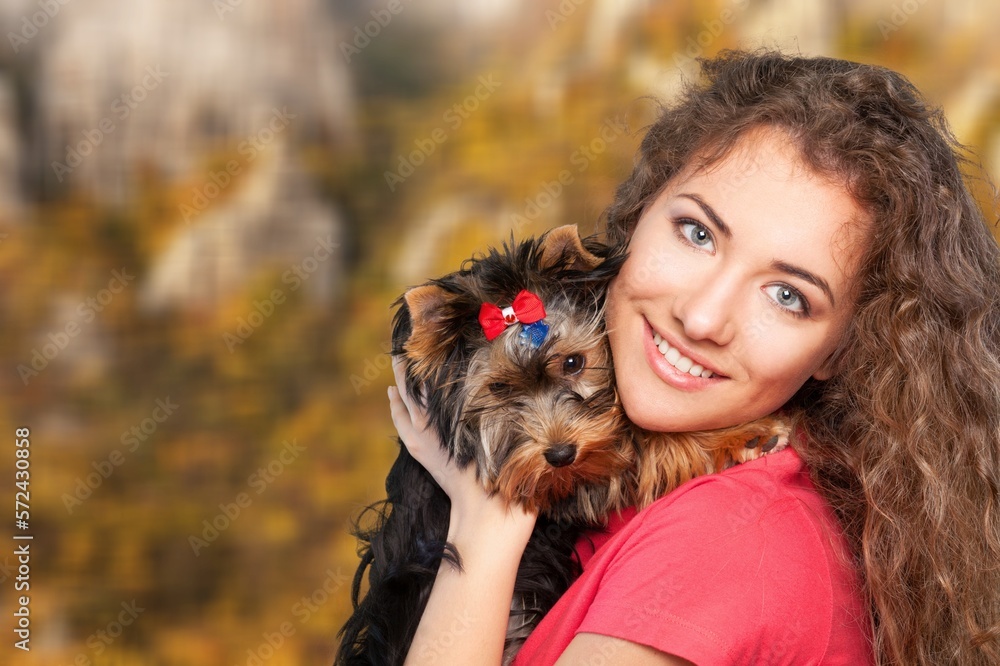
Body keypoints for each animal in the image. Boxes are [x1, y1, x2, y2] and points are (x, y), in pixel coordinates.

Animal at [336, 226, 788, 660]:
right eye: (499, 388)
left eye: (574, 362)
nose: (560, 454)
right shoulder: (557, 487)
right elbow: (637, 448)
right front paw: (742, 435)